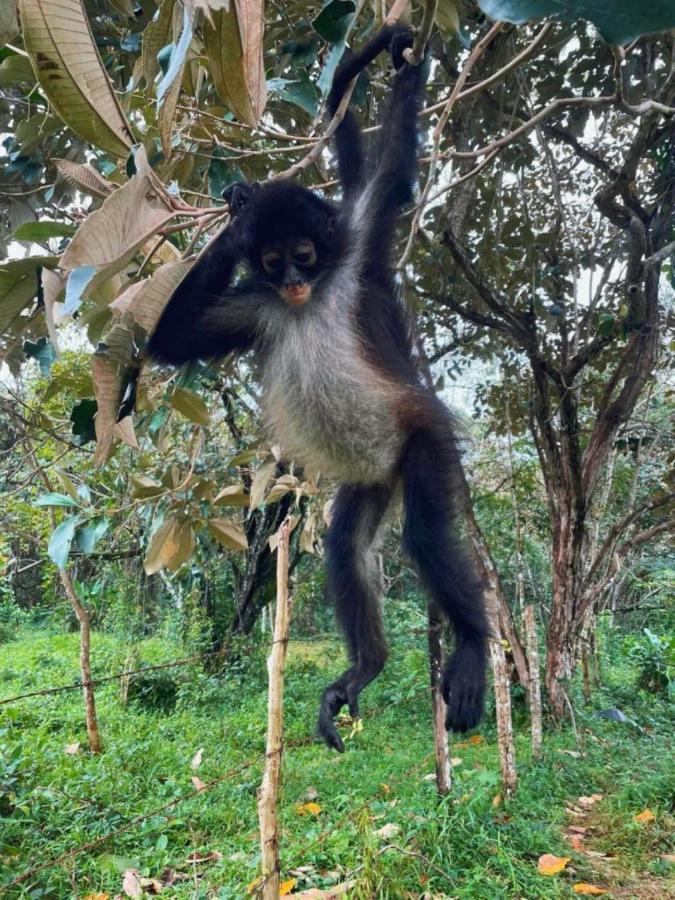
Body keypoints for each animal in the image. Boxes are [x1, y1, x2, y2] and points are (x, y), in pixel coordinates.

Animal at [148, 22, 488, 752]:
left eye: (305, 254)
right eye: (272, 260)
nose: (296, 282)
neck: (308, 298)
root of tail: (389, 464)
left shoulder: (354, 251)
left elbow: (390, 174)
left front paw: (388, 58)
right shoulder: (260, 306)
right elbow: (170, 341)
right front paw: (237, 207)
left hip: (419, 439)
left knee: (424, 533)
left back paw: (474, 644)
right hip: (372, 478)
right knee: (344, 544)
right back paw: (367, 667)